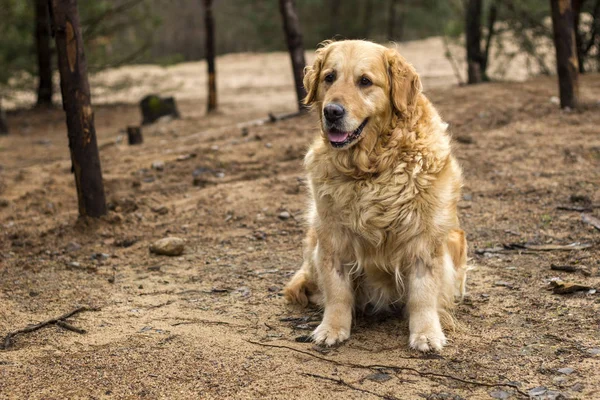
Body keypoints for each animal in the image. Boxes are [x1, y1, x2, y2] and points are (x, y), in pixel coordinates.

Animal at [284, 40, 468, 352]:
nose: (332, 112)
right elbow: (337, 291)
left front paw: (426, 333)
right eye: (329, 77)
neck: (370, 168)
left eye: (365, 81)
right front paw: (332, 328)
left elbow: (423, 293)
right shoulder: (332, 236)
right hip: (313, 238)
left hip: (455, 239)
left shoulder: (424, 238)